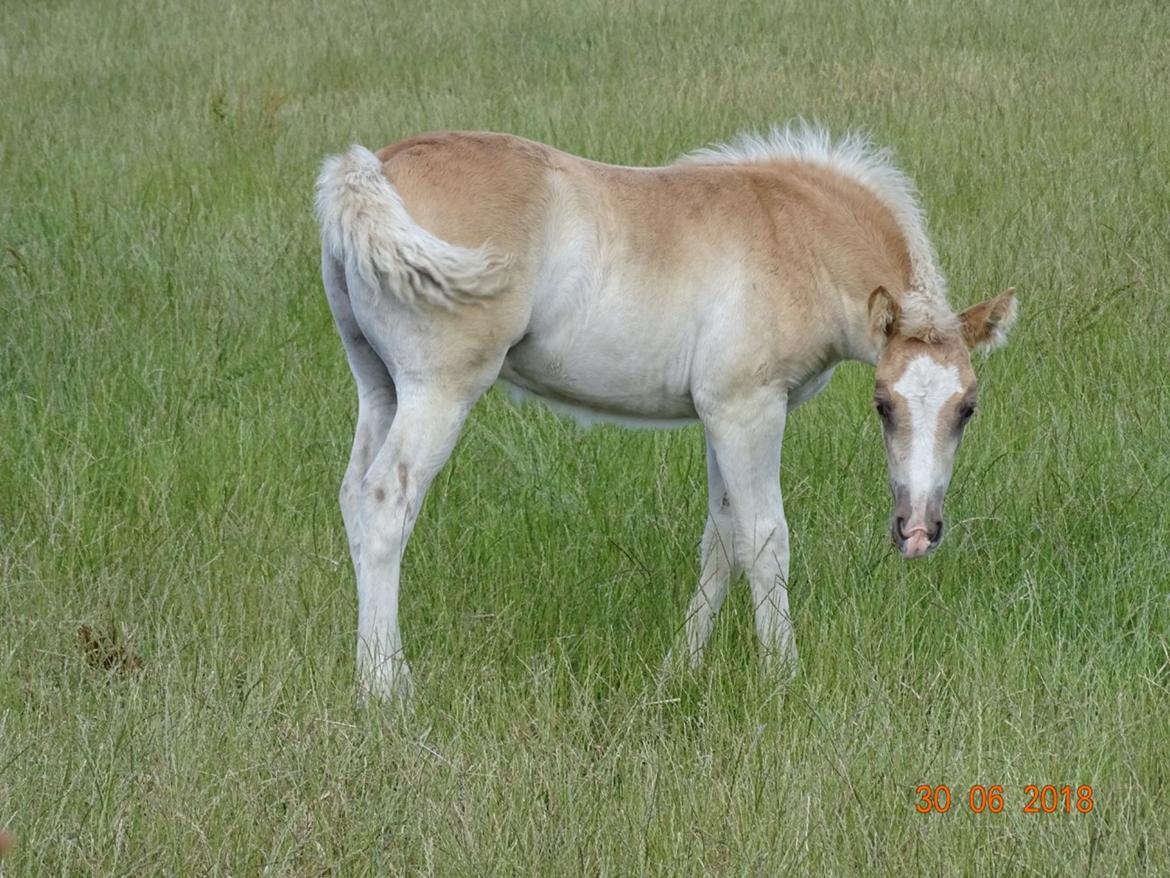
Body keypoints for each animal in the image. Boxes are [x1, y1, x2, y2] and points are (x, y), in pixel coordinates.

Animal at [315, 125, 1020, 702]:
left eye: (968, 408)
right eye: (882, 404)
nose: (918, 531)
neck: (796, 237)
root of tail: (375, 167)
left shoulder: (718, 415)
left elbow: (722, 539)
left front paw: (677, 671)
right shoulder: (747, 409)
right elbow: (766, 538)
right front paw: (784, 677)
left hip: (380, 388)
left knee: (352, 496)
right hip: (439, 390)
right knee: (386, 500)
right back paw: (387, 688)